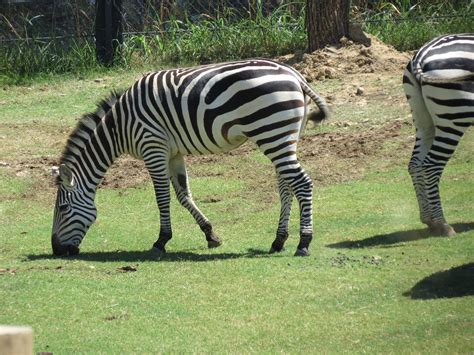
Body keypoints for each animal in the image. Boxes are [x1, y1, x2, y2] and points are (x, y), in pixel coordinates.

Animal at [50, 59, 328, 258]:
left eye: (62, 209)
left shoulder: (152, 147)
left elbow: (162, 197)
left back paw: (303, 243)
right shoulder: (173, 153)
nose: (56, 250)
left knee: (302, 183)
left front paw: (160, 241)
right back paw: (278, 240)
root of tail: (295, 75)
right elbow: (183, 195)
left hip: (272, 133)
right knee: (286, 186)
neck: (119, 127)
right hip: (283, 136)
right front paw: (210, 234)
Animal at [404, 33, 474, 236]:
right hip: (453, 117)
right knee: (431, 165)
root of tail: (420, 55)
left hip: (423, 121)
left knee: (415, 165)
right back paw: (442, 224)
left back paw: (429, 220)